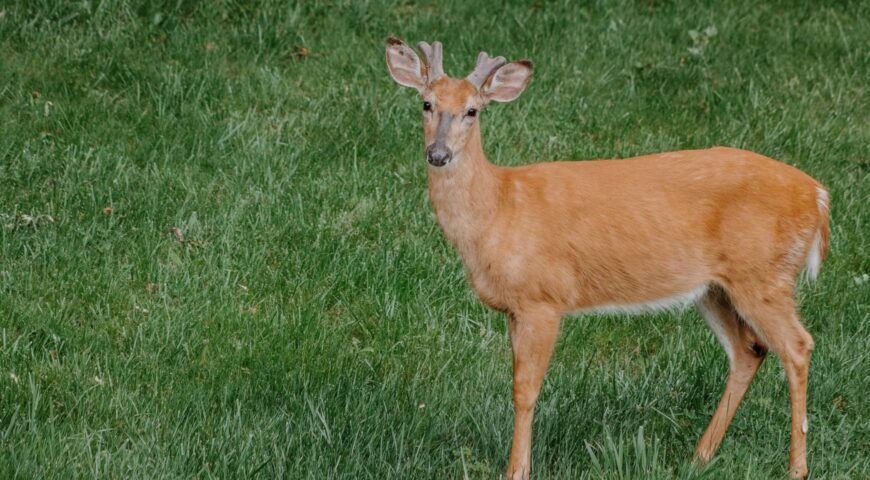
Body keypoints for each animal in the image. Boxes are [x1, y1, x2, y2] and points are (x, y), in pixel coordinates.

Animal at [384, 37, 829, 479]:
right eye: (426, 103)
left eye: (472, 110)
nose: (438, 154)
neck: (499, 207)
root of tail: (818, 197)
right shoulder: (513, 308)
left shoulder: (542, 299)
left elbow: (524, 390)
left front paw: (517, 471)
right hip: (717, 287)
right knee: (748, 350)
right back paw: (699, 456)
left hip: (764, 273)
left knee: (797, 346)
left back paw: (796, 468)